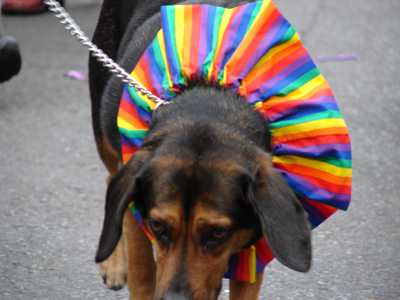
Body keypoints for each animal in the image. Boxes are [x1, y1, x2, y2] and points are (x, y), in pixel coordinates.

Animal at [89, 0, 310, 300]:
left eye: (218, 232)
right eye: (157, 226)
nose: (174, 299)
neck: (207, 100)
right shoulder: (137, 211)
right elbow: (143, 272)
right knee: (112, 181)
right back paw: (113, 263)